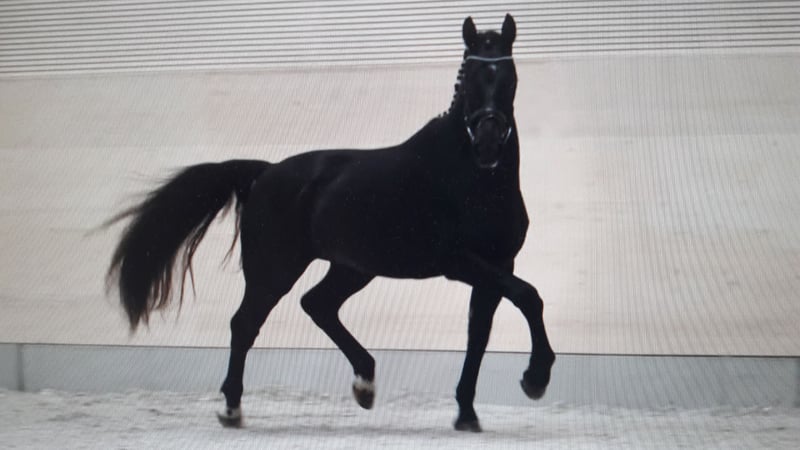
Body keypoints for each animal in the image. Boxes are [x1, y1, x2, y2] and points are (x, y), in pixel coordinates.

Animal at [106, 14, 555, 432]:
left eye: (509, 77)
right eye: (472, 76)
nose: (488, 143)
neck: (469, 179)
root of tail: (264, 173)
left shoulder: (498, 263)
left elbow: (480, 333)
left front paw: (467, 413)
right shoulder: (458, 261)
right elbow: (528, 296)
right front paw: (535, 378)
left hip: (352, 267)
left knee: (317, 304)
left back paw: (364, 384)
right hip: (275, 270)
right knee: (246, 323)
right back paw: (232, 409)